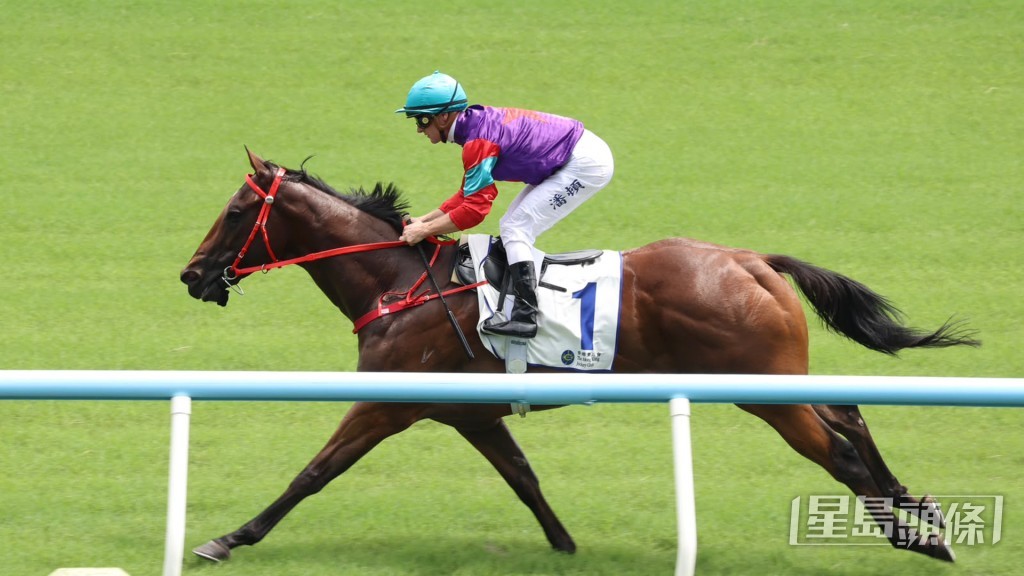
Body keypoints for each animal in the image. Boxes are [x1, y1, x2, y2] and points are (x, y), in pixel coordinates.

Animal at [180, 149, 979, 564]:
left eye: (235, 213)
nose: (191, 275)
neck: (398, 283)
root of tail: (751, 259)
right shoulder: (469, 414)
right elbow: (523, 478)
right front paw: (564, 545)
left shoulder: (387, 404)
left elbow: (314, 472)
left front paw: (229, 538)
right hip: (780, 376)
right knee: (851, 415)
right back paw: (915, 505)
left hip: (756, 384)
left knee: (837, 448)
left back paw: (915, 539)